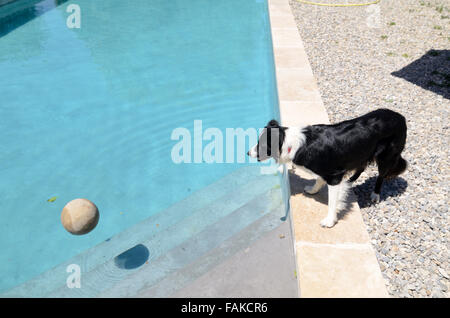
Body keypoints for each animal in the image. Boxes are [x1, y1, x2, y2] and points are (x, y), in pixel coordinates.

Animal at [246, 109, 408, 229]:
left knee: (381, 175)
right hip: (363, 152)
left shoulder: (334, 176)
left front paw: (330, 221)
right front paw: (313, 190)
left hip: (386, 156)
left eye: (261, 145)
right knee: (361, 166)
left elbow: (332, 201)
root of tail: (400, 117)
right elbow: (318, 179)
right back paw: (350, 181)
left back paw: (375, 194)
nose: (247, 153)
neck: (292, 143)